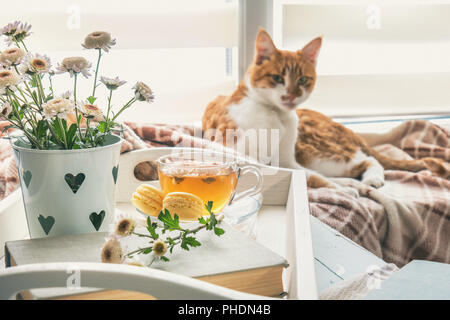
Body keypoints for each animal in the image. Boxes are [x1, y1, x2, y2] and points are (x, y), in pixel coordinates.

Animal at [203, 28, 446, 188]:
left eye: (302, 79)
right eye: (277, 78)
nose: (291, 95)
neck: (278, 117)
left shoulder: (289, 160)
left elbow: (310, 177)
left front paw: (346, 188)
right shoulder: (245, 151)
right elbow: (313, 178)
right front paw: (343, 188)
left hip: (320, 154)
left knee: (368, 160)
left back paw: (369, 180)